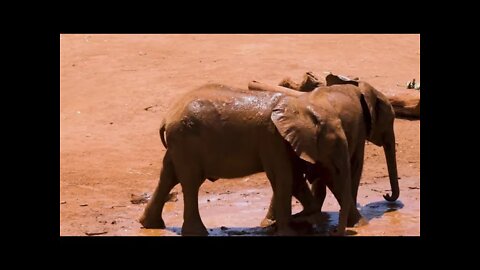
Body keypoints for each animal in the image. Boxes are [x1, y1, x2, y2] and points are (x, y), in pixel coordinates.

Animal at [141, 83, 354, 235]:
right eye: (335, 143)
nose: (337, 231)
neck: (300, 105)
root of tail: (167, 118)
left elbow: (293, 179)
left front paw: (304, 222)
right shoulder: (272, 139)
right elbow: (283, 177)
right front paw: (289, 231)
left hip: (179, 143)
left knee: (169, 176)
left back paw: (150, 224)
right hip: (186, 141)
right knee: (191, 182)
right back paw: (197, 233)